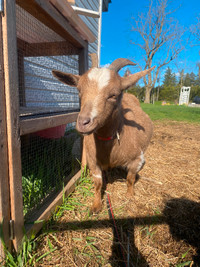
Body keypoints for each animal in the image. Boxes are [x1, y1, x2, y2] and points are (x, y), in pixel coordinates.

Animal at [52, 58, 155, 214]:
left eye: (114, 95)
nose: (83, 123)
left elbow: (130, 178)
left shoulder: (136, 159)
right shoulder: (93, 161)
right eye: (79, 90)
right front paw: (96, 206)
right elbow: (98, 183)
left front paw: (130, 195)